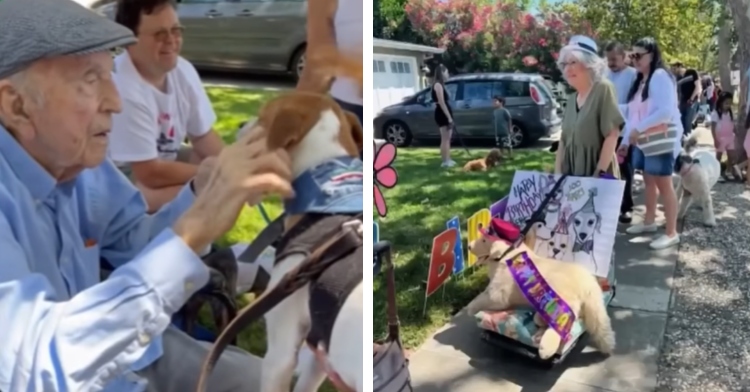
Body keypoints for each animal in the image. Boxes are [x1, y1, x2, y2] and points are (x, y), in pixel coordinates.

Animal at [470, 234, 616, 360]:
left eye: (484, 240)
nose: (469, 246)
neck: (508, 255)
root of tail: (590, 285)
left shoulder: (500, 291)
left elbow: (488, 298)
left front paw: (470, 308)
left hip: (558, 290)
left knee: (562, 321)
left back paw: (546, 347)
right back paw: (540, 321)